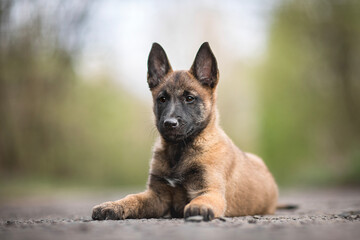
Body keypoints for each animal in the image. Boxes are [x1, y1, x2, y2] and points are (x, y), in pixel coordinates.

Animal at [92, 41, 278, 221]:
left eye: (189, 98)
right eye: (162, 99)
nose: (169, 123)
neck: (179, 150)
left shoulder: (210, 190)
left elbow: (203, 198)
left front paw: (199, 207)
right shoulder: (157, 196)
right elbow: (133, 198)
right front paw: (113, 205)